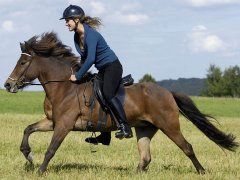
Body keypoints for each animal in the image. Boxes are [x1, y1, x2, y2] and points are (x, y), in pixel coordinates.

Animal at [3, 32, 238, 174]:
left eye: (23, 62)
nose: (8, 84)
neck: (65, 87)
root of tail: (167, 93)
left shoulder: (64, 125)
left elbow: (51, 149)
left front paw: (40, 170)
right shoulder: (53, 121)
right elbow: (28, 129)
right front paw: (28, 155)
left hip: (169, 125)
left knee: (187, 147)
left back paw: (201, 171)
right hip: (145, 128)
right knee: (145, 157)